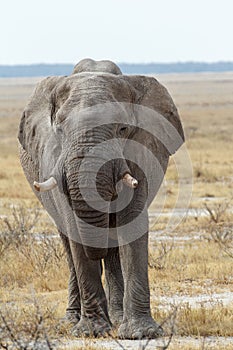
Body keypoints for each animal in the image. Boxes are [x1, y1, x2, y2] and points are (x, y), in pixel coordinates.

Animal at [18, 58, 185, 340]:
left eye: (123, 128)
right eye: (59, 129)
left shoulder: (141, 151)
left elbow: (132, 222)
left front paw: (141, 333)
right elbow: (75, 228)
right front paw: (90, 331)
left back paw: (117, 317)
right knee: (68, 244)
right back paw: (71, 321)